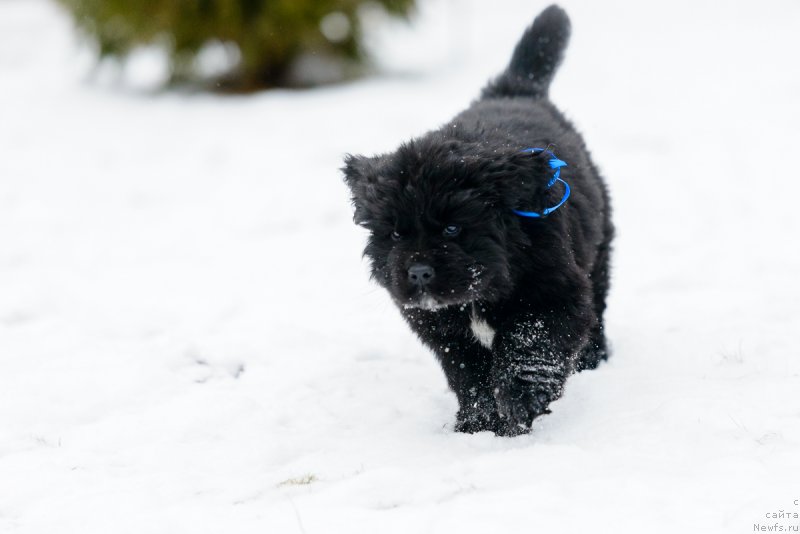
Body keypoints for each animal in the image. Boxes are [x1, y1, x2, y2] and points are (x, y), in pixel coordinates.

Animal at [342, 4, 612, 438]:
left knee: (599, 303)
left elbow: (527, 348)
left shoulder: (553, 295)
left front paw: (519, 405)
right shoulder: (441, 328)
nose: (418, 272)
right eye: (396, 234)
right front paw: (477, 422)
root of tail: (514, 89)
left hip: (600, 245)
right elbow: (468, 372)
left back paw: (595, 358)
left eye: (453, 228)